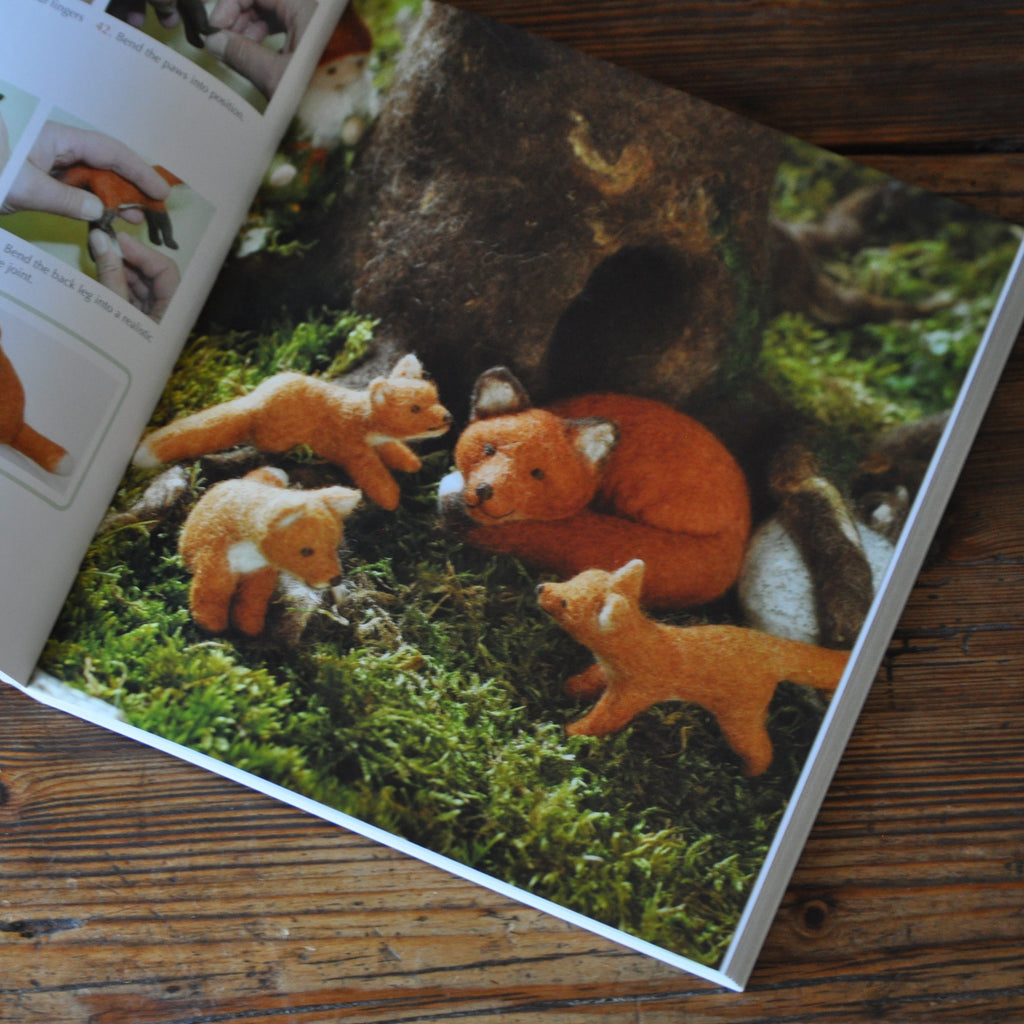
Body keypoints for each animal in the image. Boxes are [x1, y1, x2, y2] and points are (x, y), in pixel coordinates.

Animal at [134, 354, 454, 509]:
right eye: (414, 408)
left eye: (435, 394)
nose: (448, 417)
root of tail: (256, 400)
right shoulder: (350, 446)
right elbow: (370, 472)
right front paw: (389, 497)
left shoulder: (378, 441)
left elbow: (392, 450)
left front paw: (410, 462)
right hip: (277, 435)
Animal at [179, 468, 360, 634]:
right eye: (306, 551)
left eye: (335, 547)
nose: (336, 580)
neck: (249, 554)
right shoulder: (215, 569)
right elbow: (210, 597)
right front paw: (211, 627)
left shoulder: (259, 574)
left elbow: (251, 601)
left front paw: (250, 628)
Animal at [536, 561, 847, 774]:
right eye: (573, 577)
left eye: (565, 603)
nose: (540, 588)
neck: (639, 645)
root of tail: (771, 647)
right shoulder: (611, 674)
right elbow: (591, 678)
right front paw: (572, 687)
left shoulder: (632, 692)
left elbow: (604, 719)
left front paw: (573, 731)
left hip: (739, 716)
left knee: (760, 749)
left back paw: (750, 771)